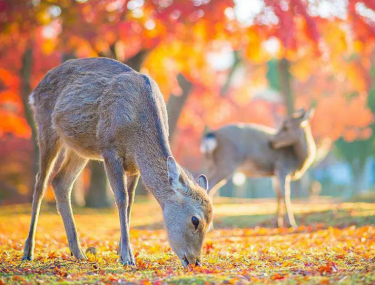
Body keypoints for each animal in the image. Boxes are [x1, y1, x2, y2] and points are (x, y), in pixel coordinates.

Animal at [22, 57, 213, 266]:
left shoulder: (134, 165)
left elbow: (130, 203)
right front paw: (127, 257)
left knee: (60, 182)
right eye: (195, 220)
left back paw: (78, 252)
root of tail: (34, 92)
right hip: (45, 127)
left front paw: (123, 251)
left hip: (79, 148)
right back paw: (28, 251)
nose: (195, 261)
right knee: (40, 184)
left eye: (210, 223)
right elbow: (122, 199)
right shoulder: (109, 150)